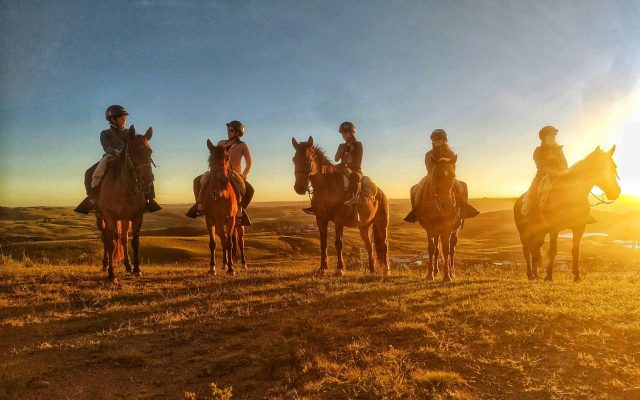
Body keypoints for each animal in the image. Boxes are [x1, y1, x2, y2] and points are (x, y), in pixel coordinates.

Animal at [97, 126, 154, 280]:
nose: (148, 178)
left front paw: (137, 269)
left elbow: (135, 242)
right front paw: (111, 273)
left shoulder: (137, 217)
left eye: (150, 151)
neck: (123, 187)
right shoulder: (109, 216)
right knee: (105, 239)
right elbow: (110, 243)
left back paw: (128, 266)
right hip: (101, 218)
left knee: (123, 239)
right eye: (131, 151)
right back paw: (105, 265)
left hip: (124, 219)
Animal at [202, 139, 239, 275]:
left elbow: (229, 243)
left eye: (227, 158)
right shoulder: (210, 219)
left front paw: (231, 268)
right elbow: (213, 243)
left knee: (228, 240)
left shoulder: (231, 219)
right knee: (223, 240)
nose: (223, 181)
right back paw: (224, 263)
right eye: (211, 159)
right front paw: (212, 268)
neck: (221, 195)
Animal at [291, 136, 389, 276]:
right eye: (294, 160)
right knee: (369, 245)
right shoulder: (320, 219)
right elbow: (323, 243)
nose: (299, 188)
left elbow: (338, 243)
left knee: (384, 244)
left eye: (309, 159)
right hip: (364, 226)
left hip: (381, 223)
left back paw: (386, 270)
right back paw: (372, 269)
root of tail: (381, 194)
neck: (328, 187)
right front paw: (323, 268)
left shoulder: (339, 220)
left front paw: (340, 269)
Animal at [514, 146, 621, 282]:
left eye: (613, 167)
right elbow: (553, 251)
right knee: (527, 250)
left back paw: (535, 274)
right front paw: (549, 276)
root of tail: (518, 202)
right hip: (524, 232)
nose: (616, 192)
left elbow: (576, 251)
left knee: (535, 249)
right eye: (600, 167)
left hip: (539, 233)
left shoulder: (579, 228)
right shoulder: (554, 229)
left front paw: (576, 276)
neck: (571, 195)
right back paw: (530, 275)